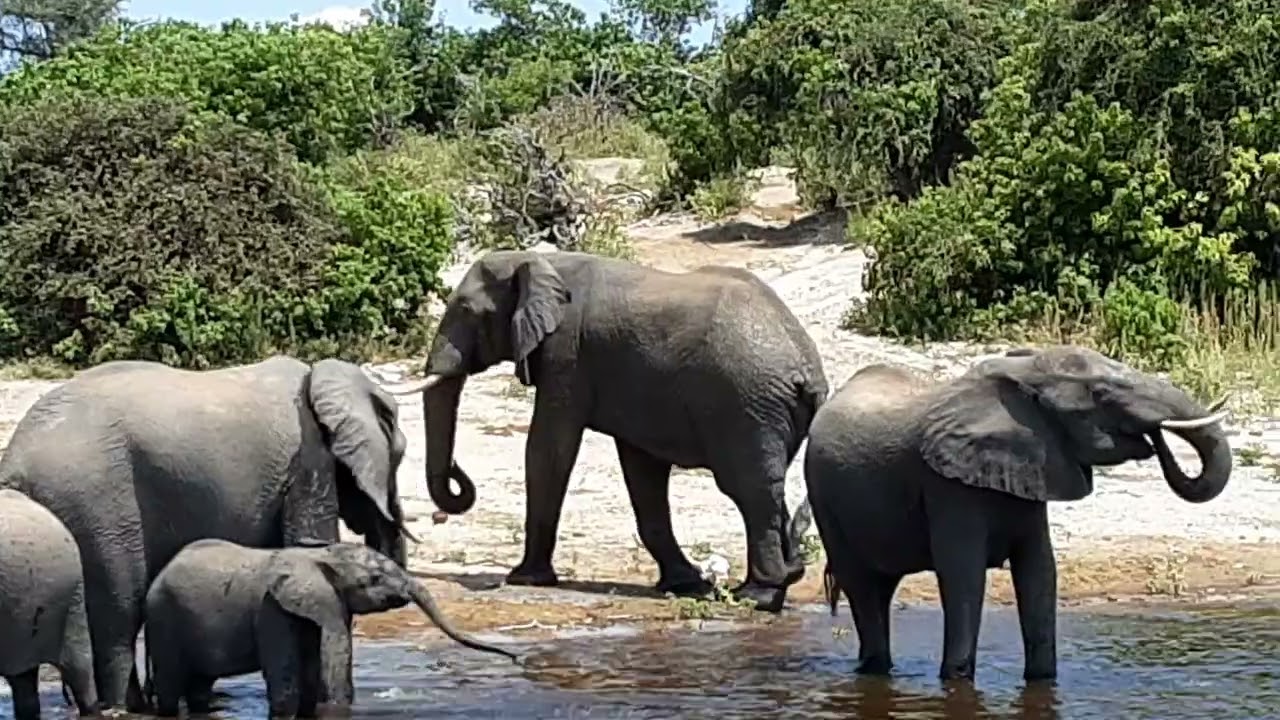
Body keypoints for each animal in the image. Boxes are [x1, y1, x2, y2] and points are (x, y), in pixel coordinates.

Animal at [143, 539, 520, 719]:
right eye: (374, 579)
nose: (516, 659)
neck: (319, 555)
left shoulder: (324, 604)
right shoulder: (272, 609)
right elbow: (291, 674)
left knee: (199, 686)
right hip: (163, 618)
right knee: (170, 683)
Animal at [382, 250, 829, 612]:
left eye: (467, 310)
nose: (459, 476)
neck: (538, 260)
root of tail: (807, 370)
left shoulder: (566, 353)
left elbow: (548, 448)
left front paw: (524, 578)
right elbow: (641, 469)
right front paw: (685, 585)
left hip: (746, 405)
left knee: (749, 491)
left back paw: (756, 597)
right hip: (763, 411)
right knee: (766, 489)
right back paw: (777, 583)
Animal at [801, 345, 1232, 682]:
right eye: (1101, 393)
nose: (1153, 437)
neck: (1023, 374)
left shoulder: (1035, 468)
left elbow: (1039, 571)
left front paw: (1042, 679)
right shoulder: (948, 487)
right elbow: (963, 577)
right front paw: (955, 679)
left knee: (881, 588)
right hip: (823, 496)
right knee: (861, 586)